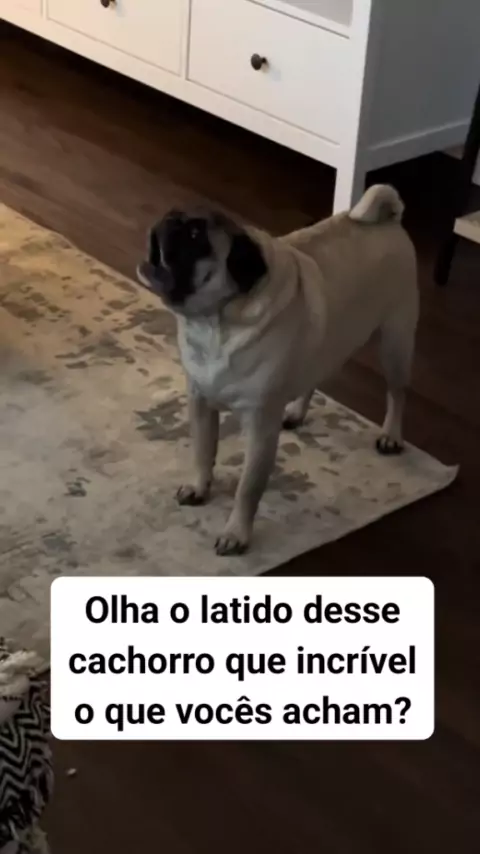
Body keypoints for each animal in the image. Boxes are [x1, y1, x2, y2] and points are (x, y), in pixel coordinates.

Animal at [137, 185, 418, 556]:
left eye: (196, 235)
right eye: (177, 217)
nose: (170, 217)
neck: (215, 324)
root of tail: (389, 220)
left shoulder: (260, 429)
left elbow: (247, 488)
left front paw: (236, 533)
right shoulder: (200, 403)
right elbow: (202, 451)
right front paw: (199, 487)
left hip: (395, 342)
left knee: (397, 392)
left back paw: (391, 436)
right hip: (326, 344)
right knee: (313, 378)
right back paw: (297, 412)